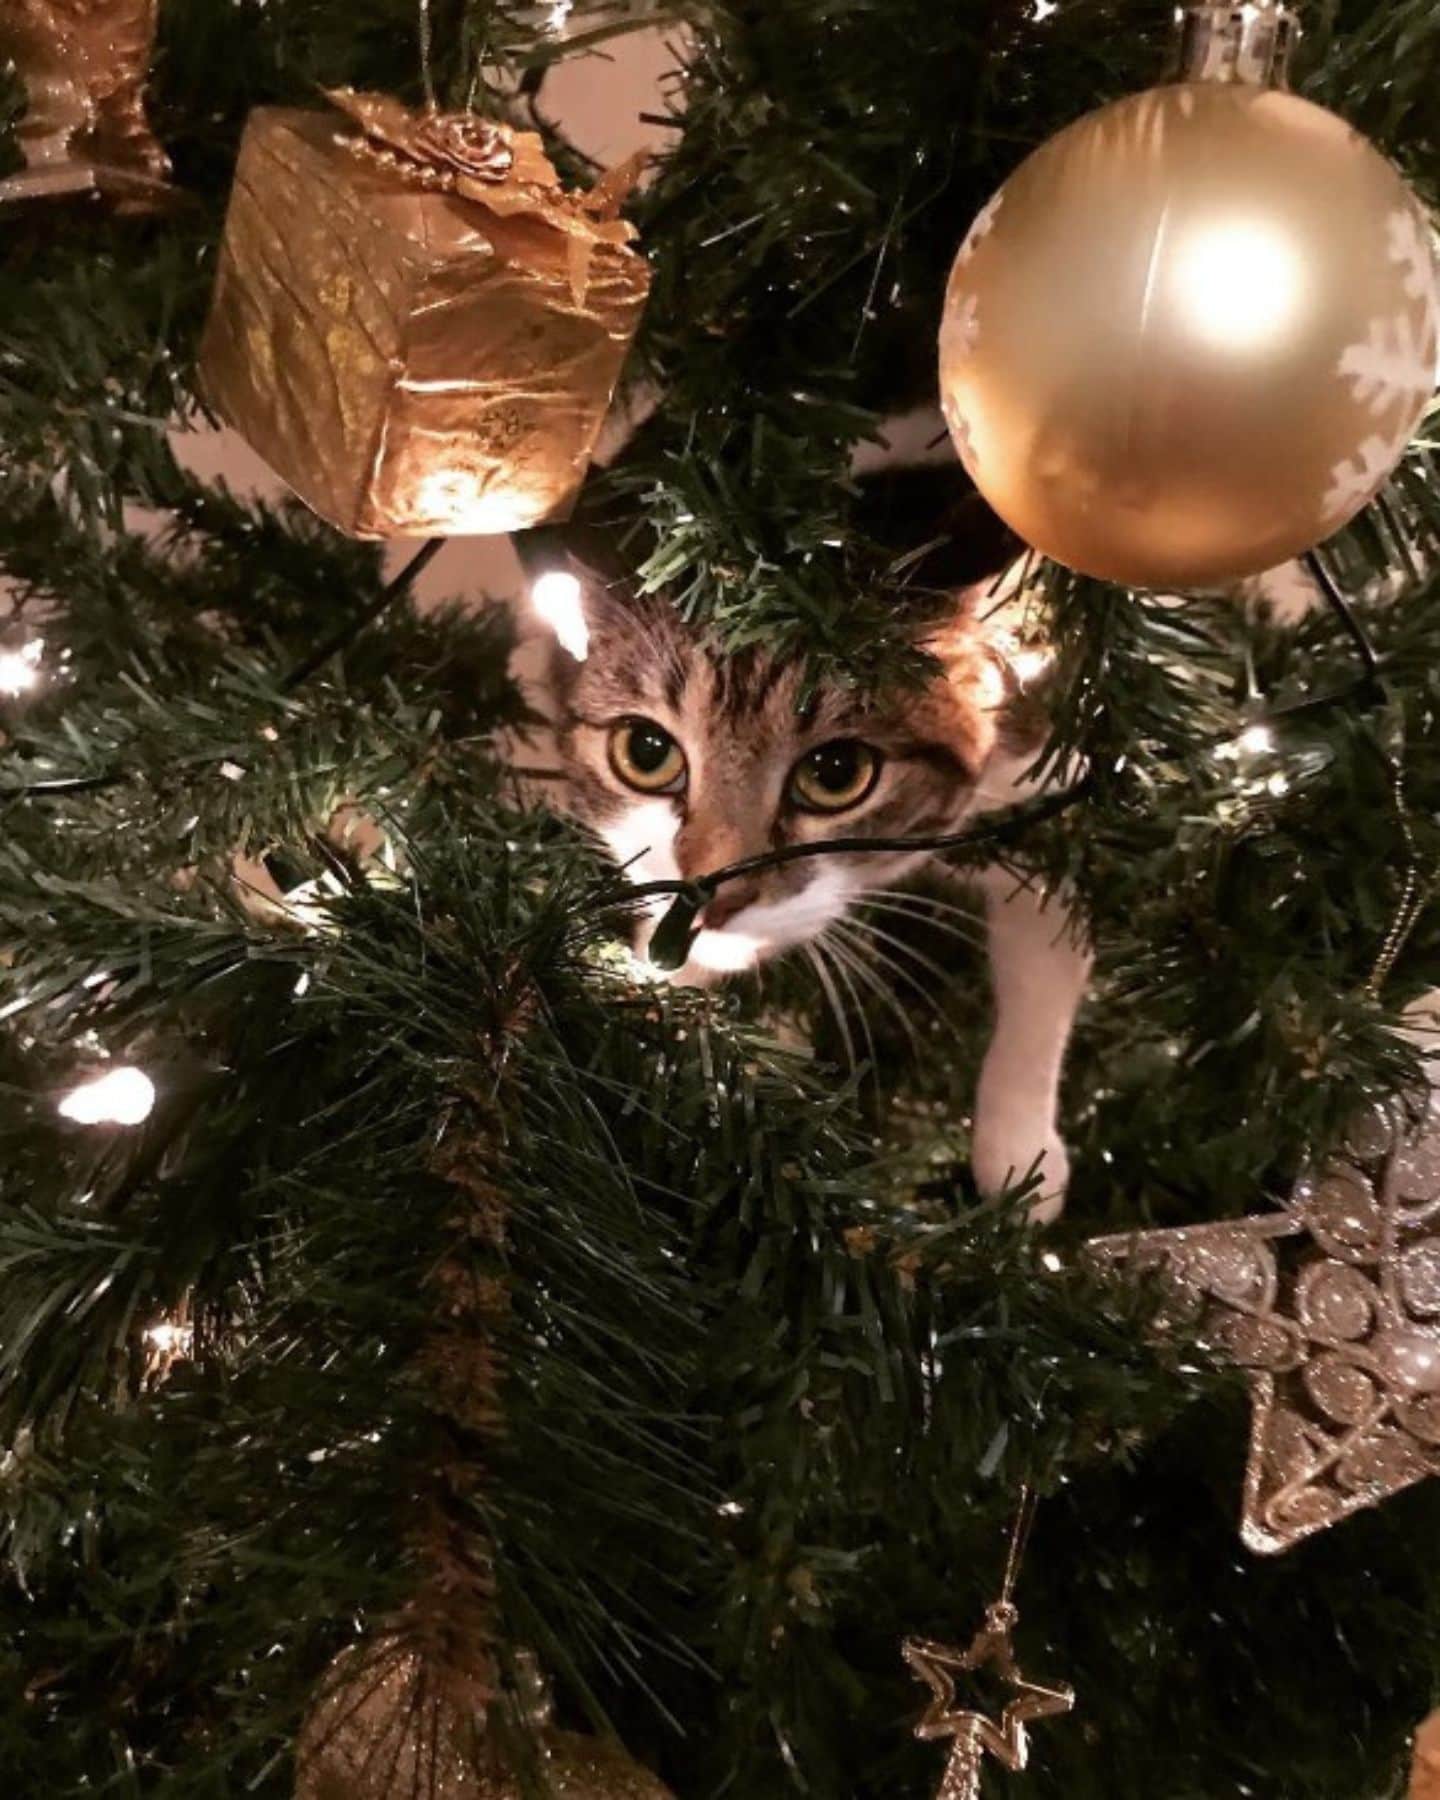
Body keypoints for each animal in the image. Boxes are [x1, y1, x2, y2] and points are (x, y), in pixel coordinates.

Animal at [547, 554, 1087, 1216]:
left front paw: (1021, 1156)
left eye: (836, 773)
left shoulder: (1058, 807)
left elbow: (1041, 978)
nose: (714, 897)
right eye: (646, 752)